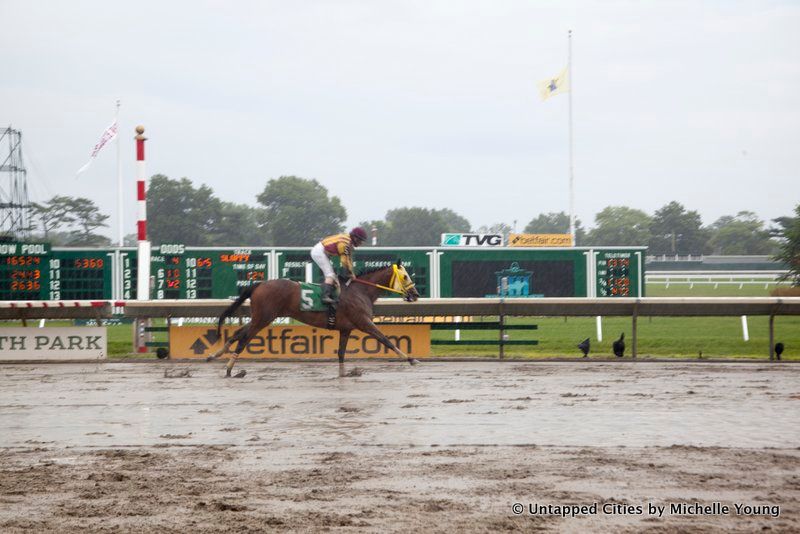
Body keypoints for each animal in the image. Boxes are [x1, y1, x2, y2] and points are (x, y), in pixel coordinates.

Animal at [206, 260, 418, 378]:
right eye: (405, 277)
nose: (415, 294)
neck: (360, 291)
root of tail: (260, 284)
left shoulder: (346, 329)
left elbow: (341, 353)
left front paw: (343, 375)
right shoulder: (364, 322)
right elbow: (385, 340)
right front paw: (410, 359)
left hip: (260, 316)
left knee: (237, 333)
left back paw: (214, 355)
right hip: (263, 318)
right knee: (244, 339)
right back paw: (229, 369)